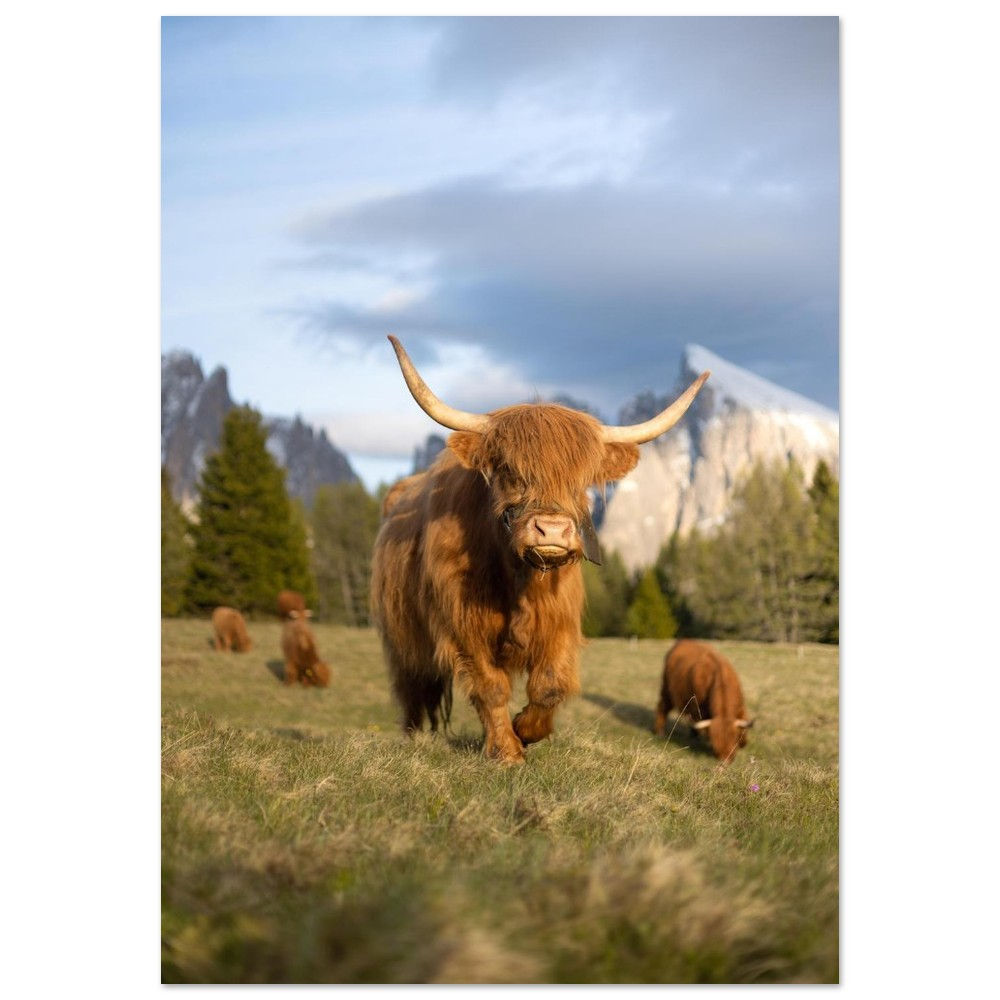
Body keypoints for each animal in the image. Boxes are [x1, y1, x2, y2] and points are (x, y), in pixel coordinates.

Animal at [371, 335, 709, 764]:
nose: (553, 530)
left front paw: (524, 730)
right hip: (403, 639)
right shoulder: (463, 625)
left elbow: (548, 686)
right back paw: (413, 739)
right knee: (413, 691)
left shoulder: (559, 622)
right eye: (510, 471)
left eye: (582, 480)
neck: (517, 580)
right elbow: (490, 686)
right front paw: (505, 751)